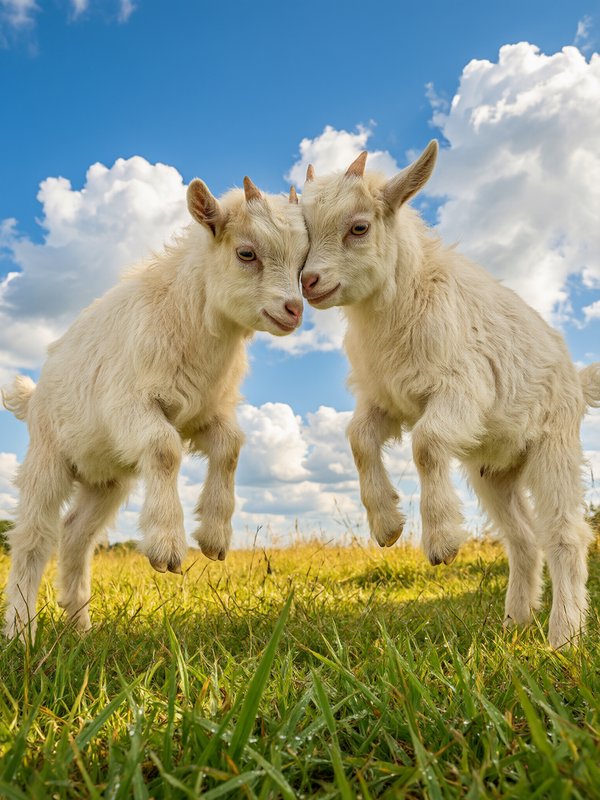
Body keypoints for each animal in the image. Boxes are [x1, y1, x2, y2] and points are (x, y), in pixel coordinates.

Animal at [2, 177, 308, 636]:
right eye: (246, 253)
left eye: (304, 260)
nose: (294, 310)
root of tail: (31, 396)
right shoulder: (130, 406)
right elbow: (164, 449)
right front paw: (167, 547)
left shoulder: (203, 412)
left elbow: (231, 445)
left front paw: (214, 536)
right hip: (48, 456)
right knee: (33, 539)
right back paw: (22, 633)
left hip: (107, 478)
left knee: (75, 534)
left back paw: (80, 627)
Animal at [299, 142, 600, 648]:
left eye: (358, 227)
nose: (308, 282)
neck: (403, 299)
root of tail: (577, 378)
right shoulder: (387, 399)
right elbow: (358, 438)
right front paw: (387, 524)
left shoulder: (462, 388)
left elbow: (426, 443)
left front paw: (441, 541)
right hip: (493, 471)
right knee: (523, 538)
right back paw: (515, 621)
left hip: (553, 444)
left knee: (565, 535)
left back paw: (564, 635)